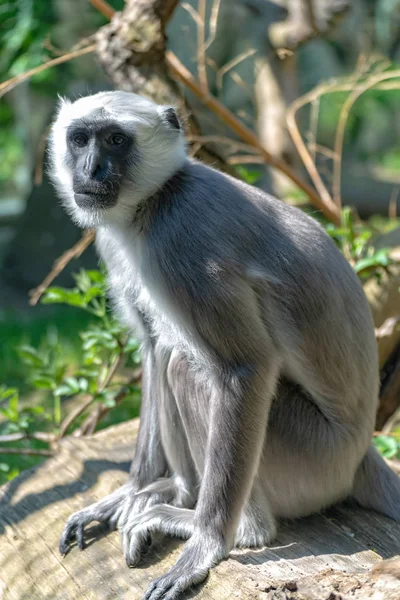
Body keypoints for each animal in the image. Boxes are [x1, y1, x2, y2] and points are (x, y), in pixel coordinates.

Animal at [50, 91, 400, 596]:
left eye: (115, 140)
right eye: (80, 140)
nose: (91, 169)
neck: (156, 201)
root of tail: (359, 454)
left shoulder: (182, 242)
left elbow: (245, 367)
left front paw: (206, 545)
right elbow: (151, 347)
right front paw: (129, 491)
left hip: (311, 458)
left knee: (189, 367)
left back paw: (243, 529)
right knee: (170, 353)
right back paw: (175, 490)